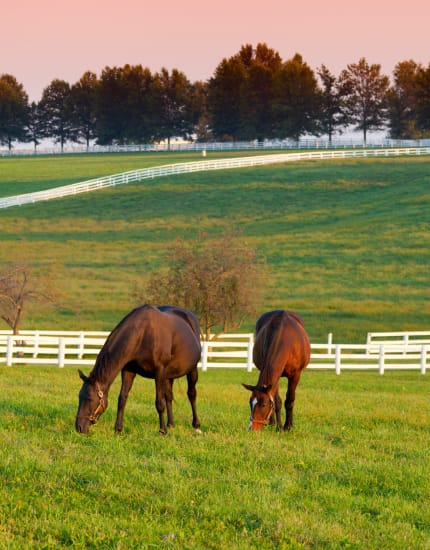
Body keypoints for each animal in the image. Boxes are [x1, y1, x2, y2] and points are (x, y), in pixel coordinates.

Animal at [75, 304, 202, 438]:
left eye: (89, 398)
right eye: (79, 397)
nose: (79, 427)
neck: (143, 334)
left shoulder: (159, 372)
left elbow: (159, 403)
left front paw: (162, 431)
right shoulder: (128, 371)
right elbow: (122, 399)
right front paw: (118, 429)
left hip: (192, 369)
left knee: (191, 394)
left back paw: (196, 425)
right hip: (169, 376)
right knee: (169, 396)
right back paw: (171, 424)